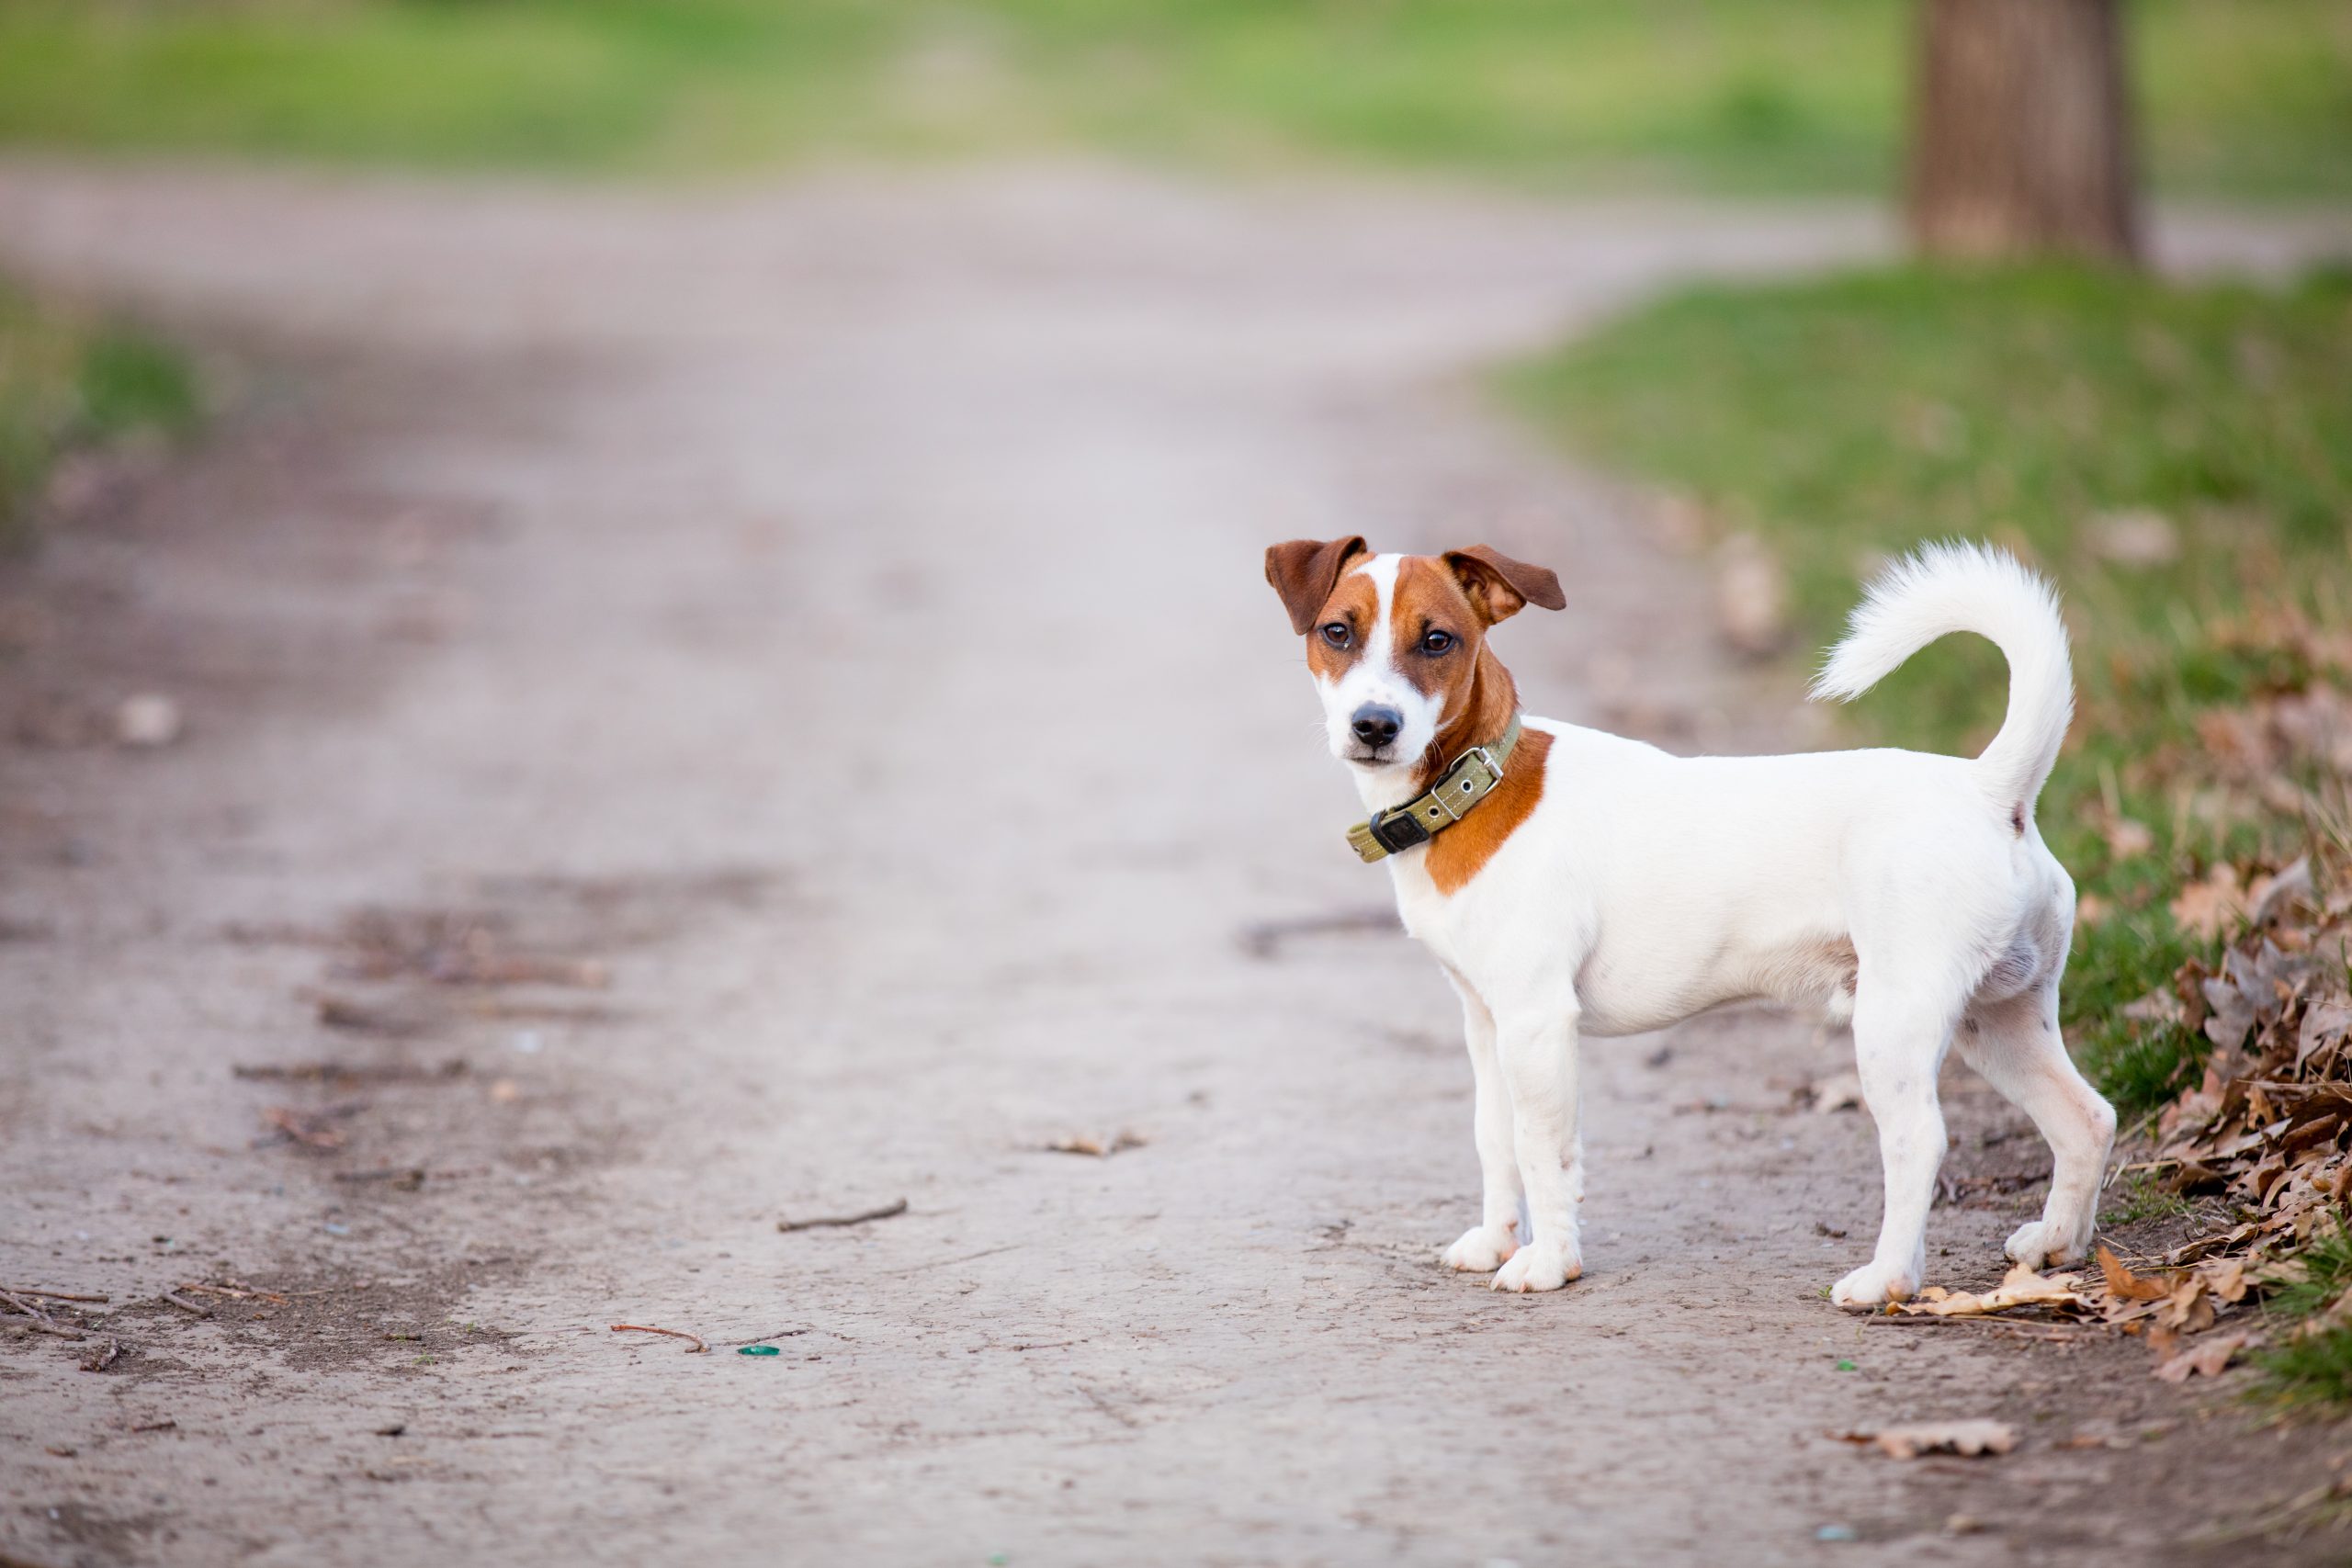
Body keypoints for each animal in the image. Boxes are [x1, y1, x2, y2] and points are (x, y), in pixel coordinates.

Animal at [1279, 533, 2126, 1306]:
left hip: (1896, 1020)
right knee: (2086, 1118)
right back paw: (2057, 1244)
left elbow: (1543, 1148)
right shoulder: (1485, 1022)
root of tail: (1990, 789)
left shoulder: (1537, 1022)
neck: (1476, 786)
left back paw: (1885, 1279)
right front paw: (1494, 1240)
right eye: (1338, 632)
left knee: (1918, 1140)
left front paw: (1549, 1262)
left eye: (1438, 640)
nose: (1375, 725)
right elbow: (1495, 1139)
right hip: (2001, 1019)